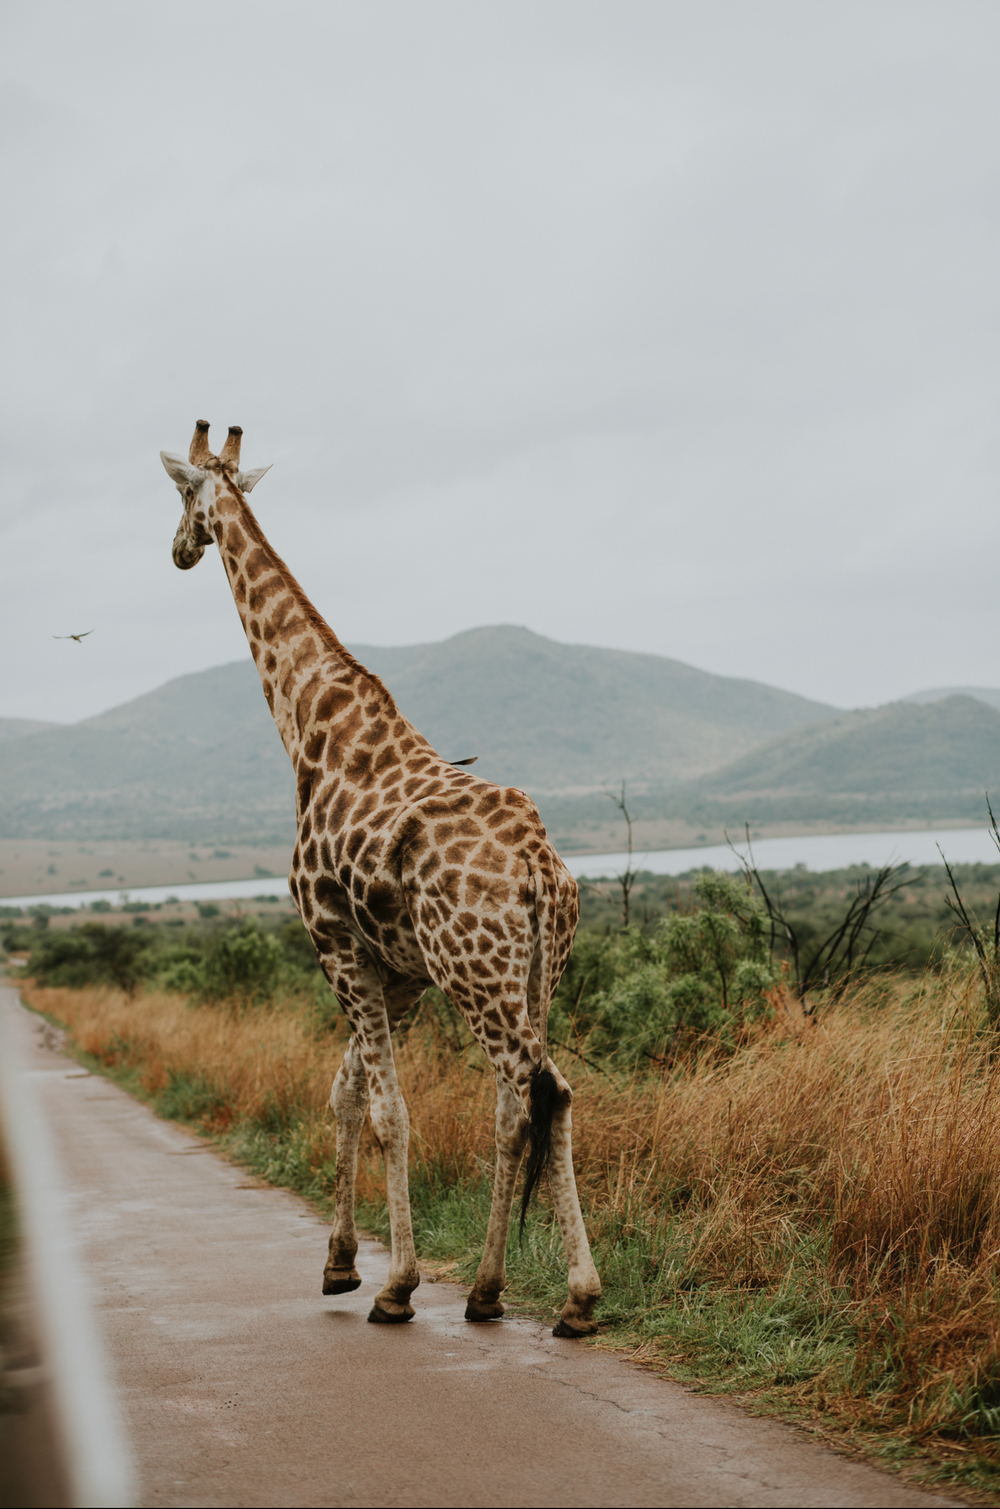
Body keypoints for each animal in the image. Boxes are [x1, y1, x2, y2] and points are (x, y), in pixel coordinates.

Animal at [160, 421, 602, 1336]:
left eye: (182, 495)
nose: (180, 549)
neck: (306, 723)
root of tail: (540, 866)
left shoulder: (335, 943)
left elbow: (388, 1109)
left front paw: (394, 1283)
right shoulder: (399, 972)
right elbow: (346, 1092)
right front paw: (339, 1262)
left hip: (480, 973)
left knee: (528, 1097)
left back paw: (525, 1292)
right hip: (538, 972)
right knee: (543, 1096)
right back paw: (535, 1295)